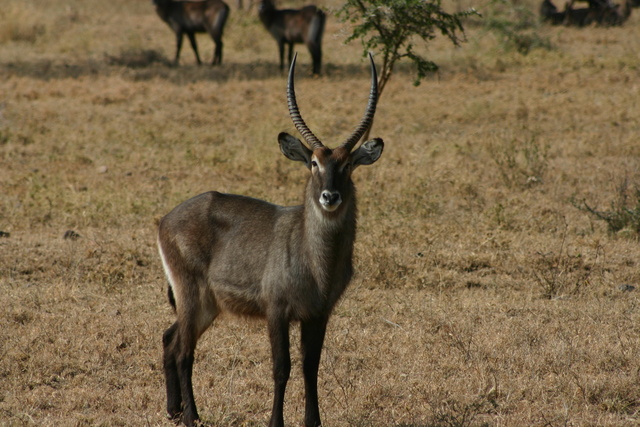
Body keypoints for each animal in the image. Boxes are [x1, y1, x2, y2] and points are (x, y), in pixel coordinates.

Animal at [157, 54, 384, 427]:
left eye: (349, 164)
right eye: (313, 162)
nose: (330, 196)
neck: (317, 261)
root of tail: (166, 218)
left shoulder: (318, 314)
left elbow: (310, 367)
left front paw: (313, 422)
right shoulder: (277, 311)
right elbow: (281, 368)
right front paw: (276, 421)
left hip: (208, 304)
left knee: (170, 339)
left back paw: (175, 411)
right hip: (191, 294)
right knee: (184, 352)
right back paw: (191, 417)